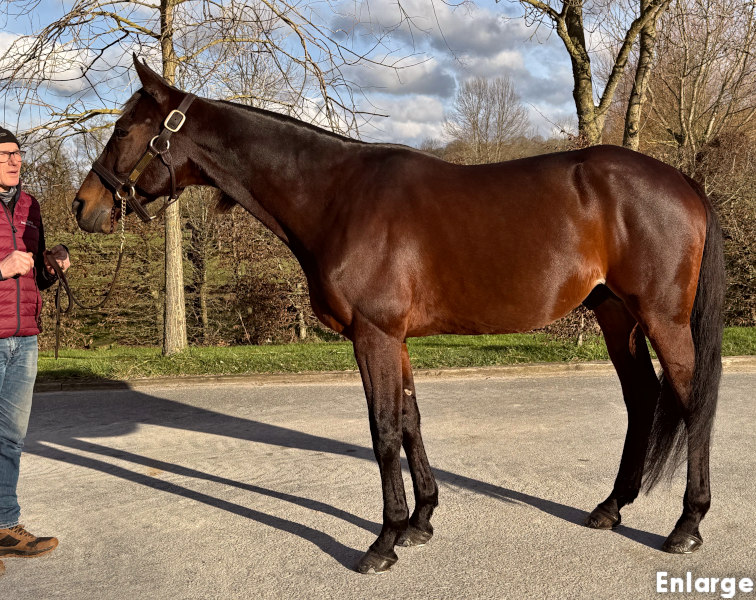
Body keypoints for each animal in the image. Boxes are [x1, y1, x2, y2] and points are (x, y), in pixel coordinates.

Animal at [72, 56, 725, 574]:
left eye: (124, 129)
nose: (84, 205)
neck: (337, 196)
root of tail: (684, 183)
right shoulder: (396, 339)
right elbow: (410, 420)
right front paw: (421, 521)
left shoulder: (374, 335)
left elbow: (383, 429)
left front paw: (382, 541)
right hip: (616, 316)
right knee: (643, 399)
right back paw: (611, 508)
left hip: (662, 319)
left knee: (693, 403)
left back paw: (686, 526)